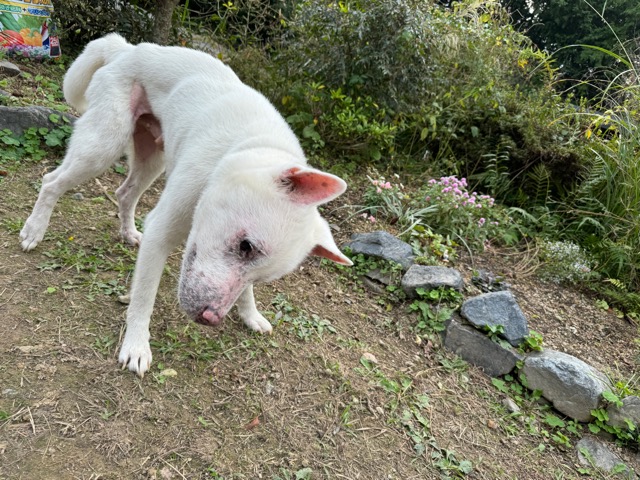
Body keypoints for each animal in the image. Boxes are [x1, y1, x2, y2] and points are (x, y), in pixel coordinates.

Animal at [20, 33, 352, 377]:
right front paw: (136, 346)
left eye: (261, 277)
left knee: (124, 193)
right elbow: (144, 297)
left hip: (152, 158)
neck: (242, 147)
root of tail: (127, 48)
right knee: (51, 181)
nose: (210, 318)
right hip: (102, 146)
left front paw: (250, 314)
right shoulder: (162, 230)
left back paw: (128, 232)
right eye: (246, 246)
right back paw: (34, 231)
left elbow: (244, 293)